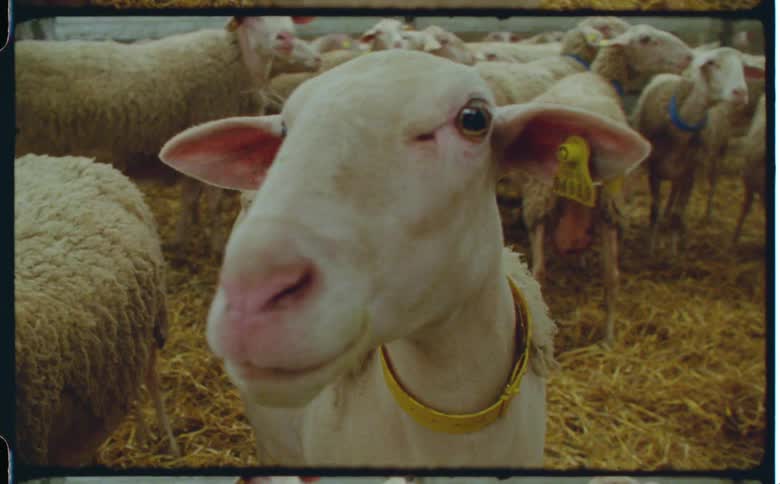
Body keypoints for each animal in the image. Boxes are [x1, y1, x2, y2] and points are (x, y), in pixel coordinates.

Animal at [505, 24, 692, 346]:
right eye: (646, 40)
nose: (689, 57)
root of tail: (573, 142)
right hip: (609, 204)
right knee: (611, 275)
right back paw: (609, 337)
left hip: (541, 198)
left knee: (540, 272)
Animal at [630, 47, 765, 256]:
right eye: (712, 63)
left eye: (743, 66)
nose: (741, 93)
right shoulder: (654, 170)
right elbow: (655, 209)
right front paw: (651, 247)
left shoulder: (690, 172)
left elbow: (678, 214)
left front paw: (673, 251)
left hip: (718, 152)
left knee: (711, 183)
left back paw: (705, 215)